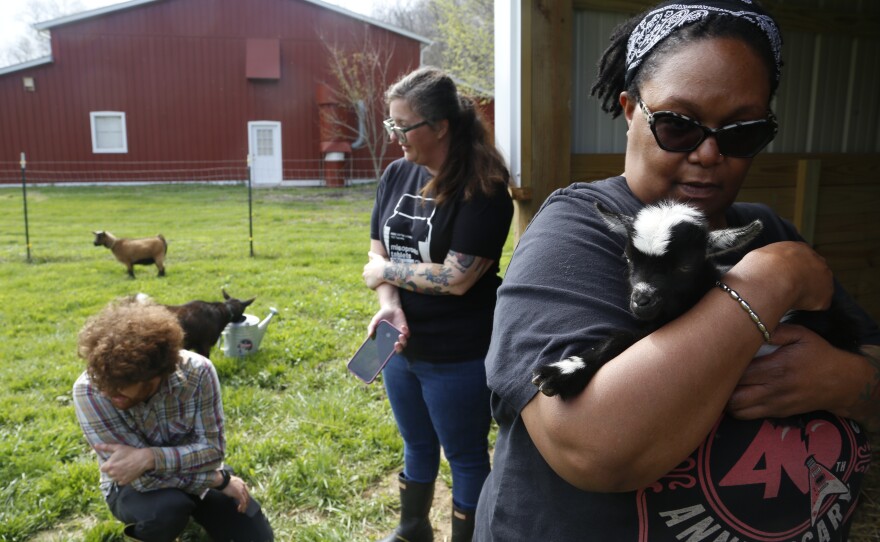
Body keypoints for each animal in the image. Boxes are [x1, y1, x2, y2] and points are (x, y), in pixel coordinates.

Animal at [532, 202, 856, 402]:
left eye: (685, 266)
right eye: (628, 258)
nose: (641, 300)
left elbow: (626, 338)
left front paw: (562, 373)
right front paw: (568, 367)